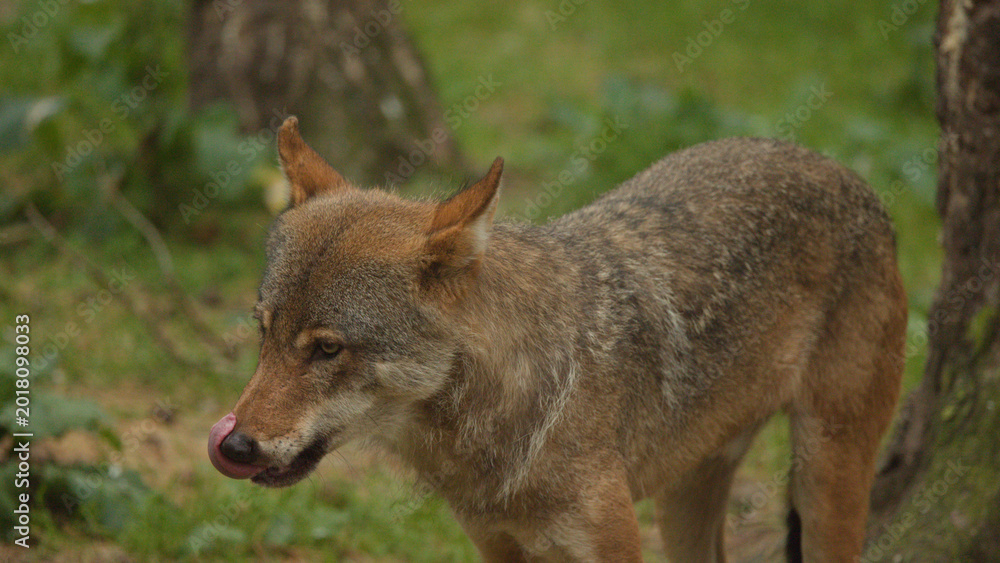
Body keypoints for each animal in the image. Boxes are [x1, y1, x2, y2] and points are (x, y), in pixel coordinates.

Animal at [208, 116, 906, 562]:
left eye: (328, 348)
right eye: (265, 332)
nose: (235, 444)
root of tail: (846, 172)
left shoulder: (613, 546)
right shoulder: (497, 548)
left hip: (826, 474)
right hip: (686, 494)